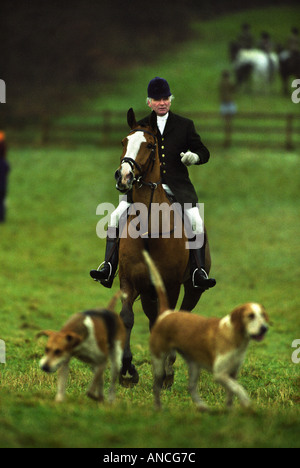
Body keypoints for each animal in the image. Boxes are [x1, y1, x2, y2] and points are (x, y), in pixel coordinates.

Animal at [113, 109, 212, 388]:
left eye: (149, 145)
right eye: (124, 141)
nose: (123, 178)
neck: (149, 228)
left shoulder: (171, 284)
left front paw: (166, 372)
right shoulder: (129, 281)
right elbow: (127, 318)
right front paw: (127, 371)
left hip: (191, 289)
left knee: (180, 314)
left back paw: (167, 370)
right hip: (148, 291)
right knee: (151, 318)